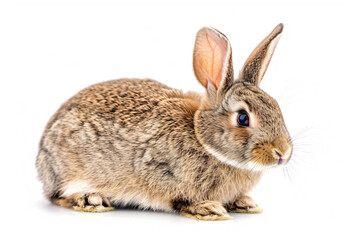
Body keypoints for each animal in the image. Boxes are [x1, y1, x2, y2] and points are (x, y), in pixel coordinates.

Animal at [36, 23, 292, 220]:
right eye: (242, 118)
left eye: (276, 107)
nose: (283, 153)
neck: (202, 140)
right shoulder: (160, 171)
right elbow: (179, 199)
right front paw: (207, 209)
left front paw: (244, 203)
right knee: (57, 196)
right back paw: (90, 200)